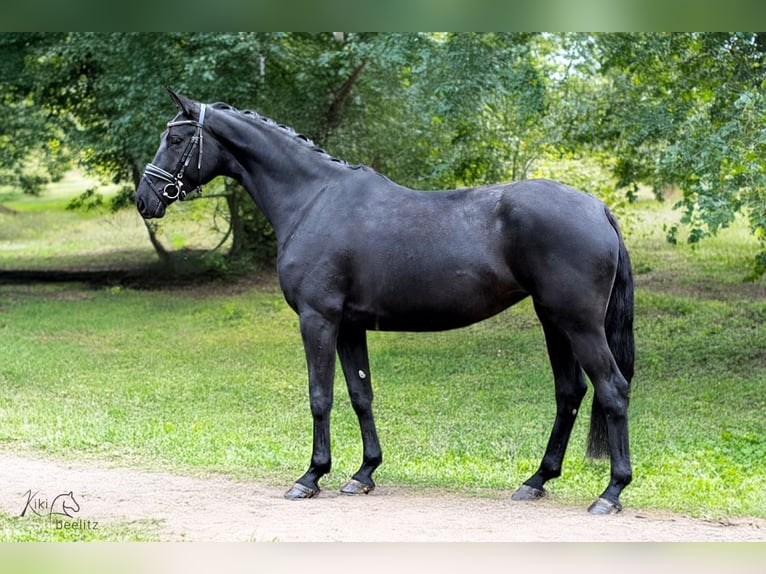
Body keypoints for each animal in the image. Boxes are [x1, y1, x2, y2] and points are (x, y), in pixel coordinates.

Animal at [136, 89, 635, 514]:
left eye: (175, 138)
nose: (145, 199)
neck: (313, 200)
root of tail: (597, 208)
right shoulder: (350, 325)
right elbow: (361, 394)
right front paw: (363, 473)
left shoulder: (318, 319)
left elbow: (320, 395)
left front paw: (311, 476)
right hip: (554, 322)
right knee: (569, 393)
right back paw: (537, 481)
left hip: (579, 324)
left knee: (612, 389)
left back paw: (610, 492)